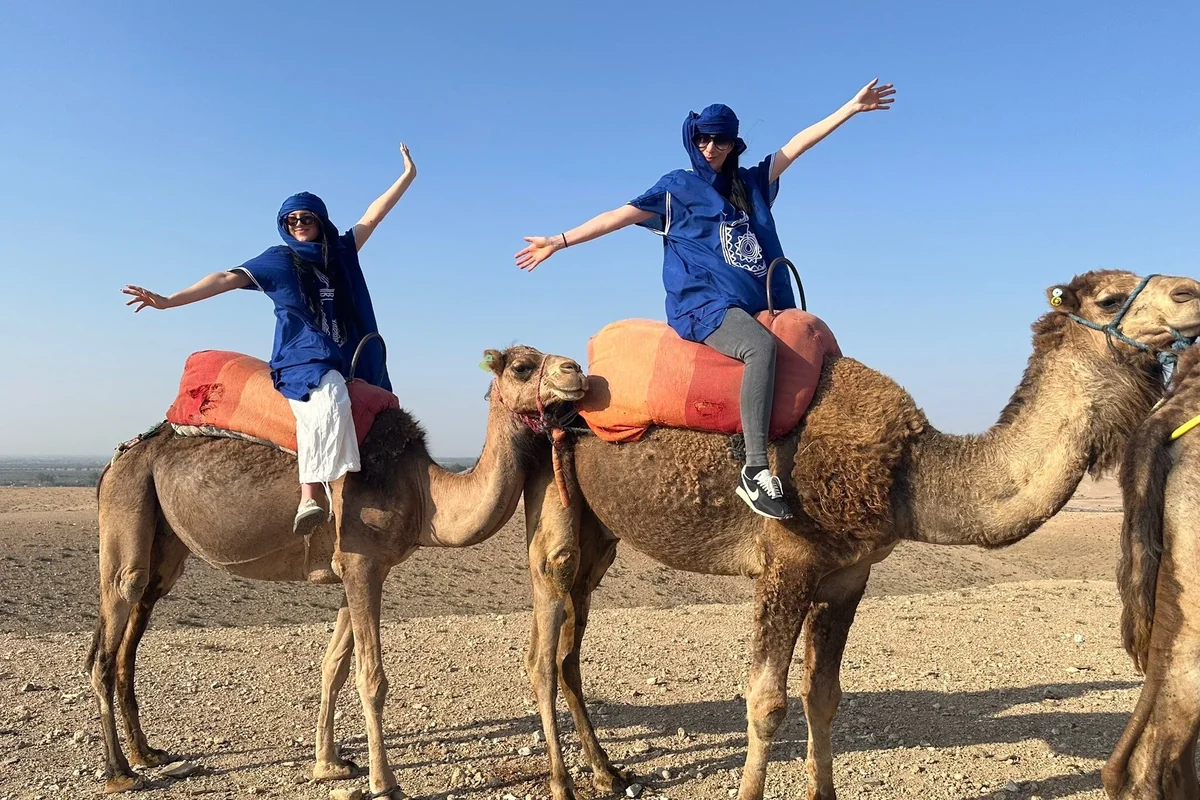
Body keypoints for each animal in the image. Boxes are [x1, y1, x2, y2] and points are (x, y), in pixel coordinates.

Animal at [89, 346, 585, 798]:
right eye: (522, 366)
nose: (575, 371)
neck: (421, 490)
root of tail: (115, 457)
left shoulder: (359, 568)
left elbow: (335, 667)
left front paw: (328, 764)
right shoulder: (362, 562)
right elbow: (372, 678)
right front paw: (385, 784)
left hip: (164, 539)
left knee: (136, 619)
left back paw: (146, 753)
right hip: (127, 500)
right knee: (113, 623)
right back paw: (119, 772)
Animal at [518, 270, 1200, 800]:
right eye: (1110, 298)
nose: (1191, 291)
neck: (907, 475)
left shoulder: (849, 572)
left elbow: (824, 695)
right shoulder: (788, 561)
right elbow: (767, 701)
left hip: (602, 535)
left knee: (570, 646)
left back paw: (607, 774)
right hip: (554, 503)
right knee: (543, 645)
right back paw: (562, 781)